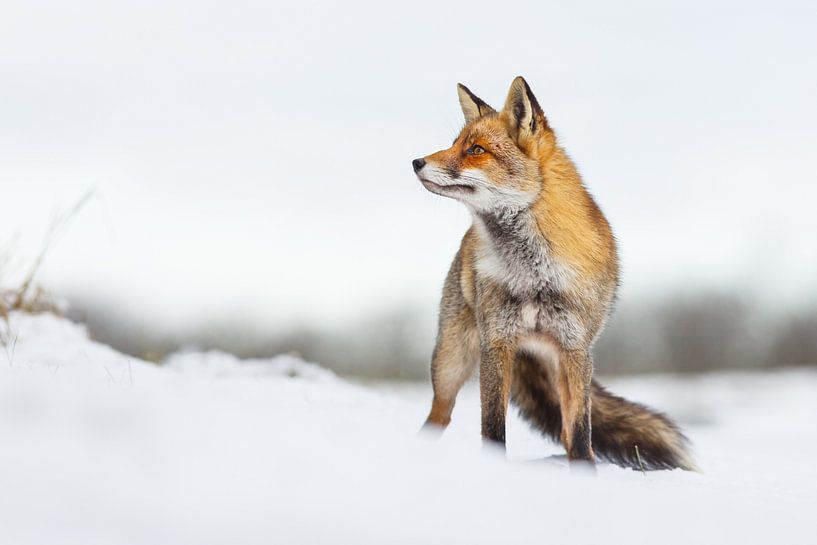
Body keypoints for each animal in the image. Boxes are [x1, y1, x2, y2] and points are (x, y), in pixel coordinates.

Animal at [414, 77, 696, 472]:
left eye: (475, 150)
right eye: (456, 144)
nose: (416, 162)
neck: (534, 273)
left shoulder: (575, 348)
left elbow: (579, 432)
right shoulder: (497, 342)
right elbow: (493, 427)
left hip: (555, 364)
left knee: (565, 432)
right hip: (450, 363)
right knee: (438, 416)